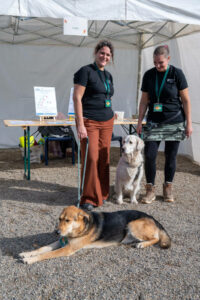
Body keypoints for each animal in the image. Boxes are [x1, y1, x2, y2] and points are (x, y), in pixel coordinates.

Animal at [18, 205, 171, 264]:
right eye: (59, 219)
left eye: (67, 220)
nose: (56, 232)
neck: (81, 228)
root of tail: (153, 218)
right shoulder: (61, 241)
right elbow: (43, 248)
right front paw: (27, 253)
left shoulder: (68, 248)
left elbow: (47, 254)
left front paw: (31, 259)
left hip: (133, 225)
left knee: (156, 238)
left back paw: (142, 244)